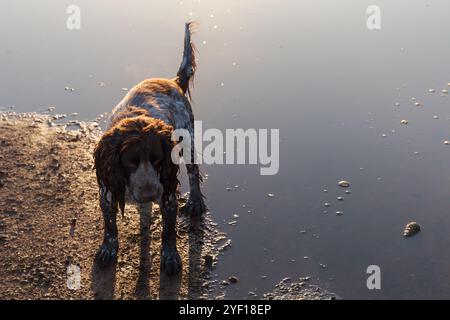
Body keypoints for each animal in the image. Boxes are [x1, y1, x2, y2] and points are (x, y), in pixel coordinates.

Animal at [93, 22, 206, 276]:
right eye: (129, 162)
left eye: (157, 159)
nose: (149, 195)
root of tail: (173, 81)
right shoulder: (107, 191)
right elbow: (110, 225)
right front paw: (108, 249)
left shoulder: (168, 193)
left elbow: (168, 231)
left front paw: (170, 258)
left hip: (188, 138)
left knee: (194, 173)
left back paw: (195, 202)